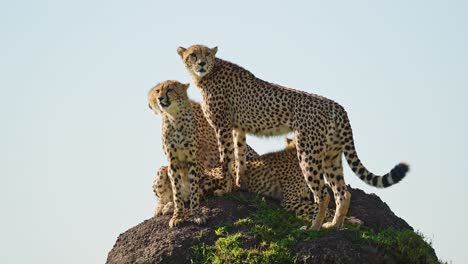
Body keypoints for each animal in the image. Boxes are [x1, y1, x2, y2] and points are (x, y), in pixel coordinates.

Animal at [147, 80, 258, 227]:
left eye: (170, 90)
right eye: (158, 90)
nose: (159, 99)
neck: (174, 117)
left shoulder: (194, 160)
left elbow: (194, 189)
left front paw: (197, 215)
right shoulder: (172, 161)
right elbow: (176, 190)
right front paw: (177, 216)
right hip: (162, 170)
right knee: (168, 195)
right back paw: (164, 206)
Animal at [177, 44, 408, 229]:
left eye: (206, 54)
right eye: (192, 55)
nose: (201, 63)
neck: (208, 74)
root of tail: (337, 105)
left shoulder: (222, 126)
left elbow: (226, 158)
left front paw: (224, 189)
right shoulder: (237, 128)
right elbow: (239, 157)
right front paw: (239, 182)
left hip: (308, 153)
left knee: (322, 195)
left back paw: (313, 228)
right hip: (331, 156)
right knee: (342, 193)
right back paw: (333, 226)